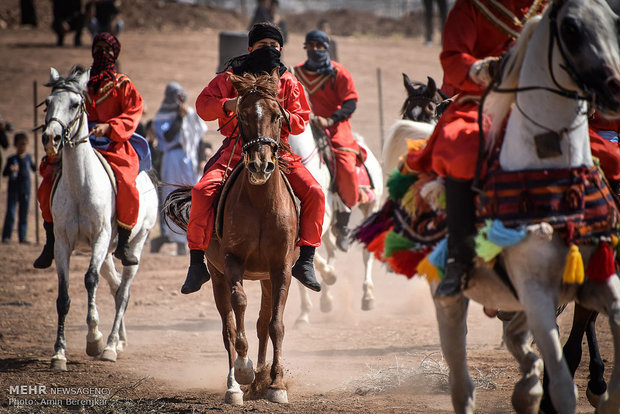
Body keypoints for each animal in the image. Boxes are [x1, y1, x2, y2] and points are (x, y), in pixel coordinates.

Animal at [40, 66, 157, 370]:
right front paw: (59, 353)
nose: (51, 138)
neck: (80, 185)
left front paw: (94, 338)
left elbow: (90, 280)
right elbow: (63, 297)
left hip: (133, 243)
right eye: (47, 103)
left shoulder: (101, 237)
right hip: (105, 253)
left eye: (74, 104)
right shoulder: (62, 243)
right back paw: (120, 341)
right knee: (115, 289)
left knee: (124, 291)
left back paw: (111, 346)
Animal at [165, 69, 298, 406]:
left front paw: (276, 383)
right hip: (216, 274)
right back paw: (236, 386)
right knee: (227, 326)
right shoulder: (231, 263)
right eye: (242, 114)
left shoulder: (280, 268)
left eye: (277, 116)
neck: (262, 203)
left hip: (265, 277)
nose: (261, 164)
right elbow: (238, 308)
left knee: (263, 324)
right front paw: (244, 369)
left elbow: (276, 325)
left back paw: (262, 378)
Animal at [290, 126, 382, 324]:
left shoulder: (321, 217)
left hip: (371, 207)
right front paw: (303, 314)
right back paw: (326, 299)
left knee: (366, 252)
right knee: (332, 251)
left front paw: (331, 276)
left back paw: (367, 296)